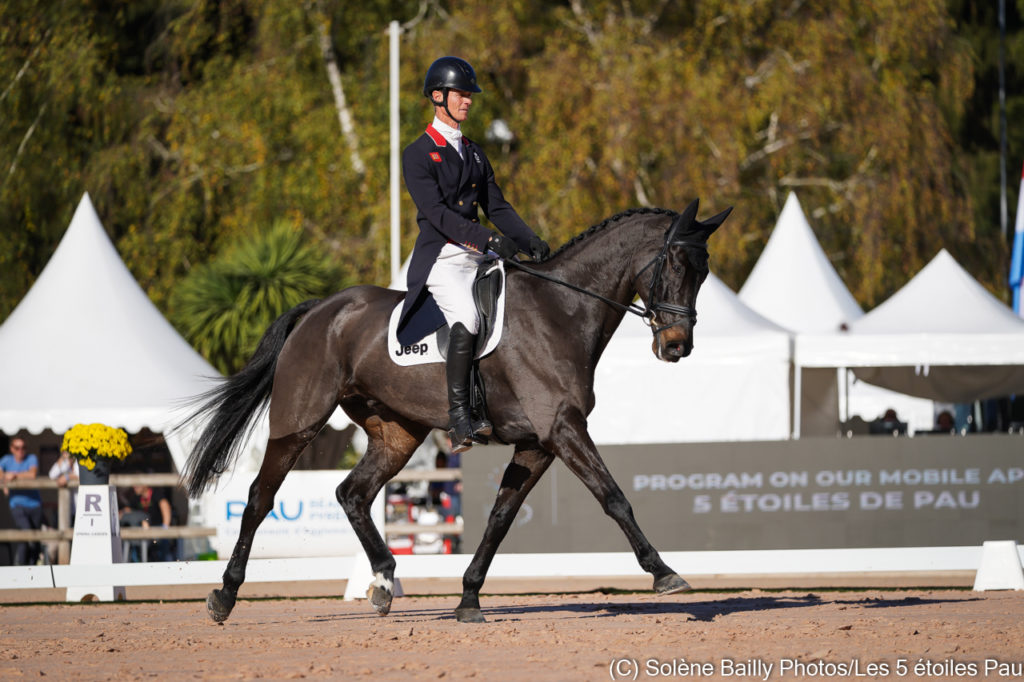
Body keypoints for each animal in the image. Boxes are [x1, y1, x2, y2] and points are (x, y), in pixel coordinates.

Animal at [182, 196, 729, 622]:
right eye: (674, 263)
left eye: (703, 273)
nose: (677, 347)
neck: (561, 310)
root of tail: (319, 309)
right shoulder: (563, 429)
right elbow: (613, 497)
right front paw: (664, 573)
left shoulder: (537, 444)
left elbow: (500, 518)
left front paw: (468, 598)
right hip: (298, 423)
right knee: (260, 497)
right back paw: (225, 596)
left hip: (397, 434)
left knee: (352, 493)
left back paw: (384, 584)